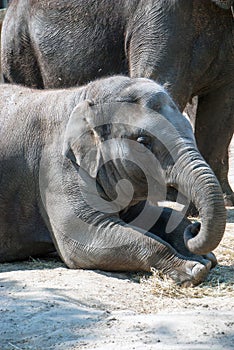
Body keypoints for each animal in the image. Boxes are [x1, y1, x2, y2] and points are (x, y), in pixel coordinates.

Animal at [0, 76, 227, 284]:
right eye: (143, 141)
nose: (196, 227)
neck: (81, 97)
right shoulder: (57, 168)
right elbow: (83, 239)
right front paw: (195, 268)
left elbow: (153, 215)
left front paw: (206, 257)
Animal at [1, 0, 234, 205]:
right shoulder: (162, 17)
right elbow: (163, 82)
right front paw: (170, 197)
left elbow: (222, 110)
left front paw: (220, 200)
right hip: (19, 50)